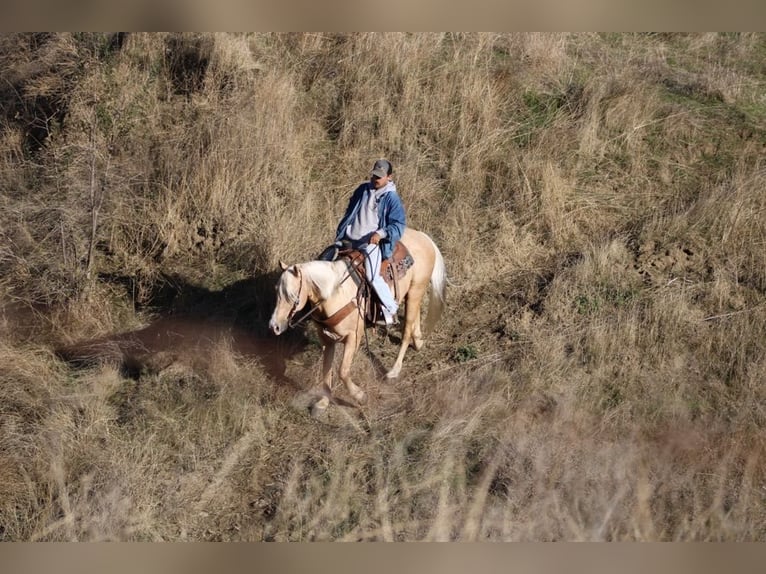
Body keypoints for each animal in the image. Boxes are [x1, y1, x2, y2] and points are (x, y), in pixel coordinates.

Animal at [270, 227, 450, 412]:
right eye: (277, 291)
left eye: (292, 296)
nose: (274, 326)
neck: (336, 293)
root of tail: (424, 238)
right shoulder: (327, 339)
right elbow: (326, 370)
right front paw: (323, 402)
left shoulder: (354, 337)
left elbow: (342, 371)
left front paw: (360, 396)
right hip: (412, 294)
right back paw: (418, 341)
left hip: (416, 290)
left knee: (406, 331)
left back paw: (394, 371)